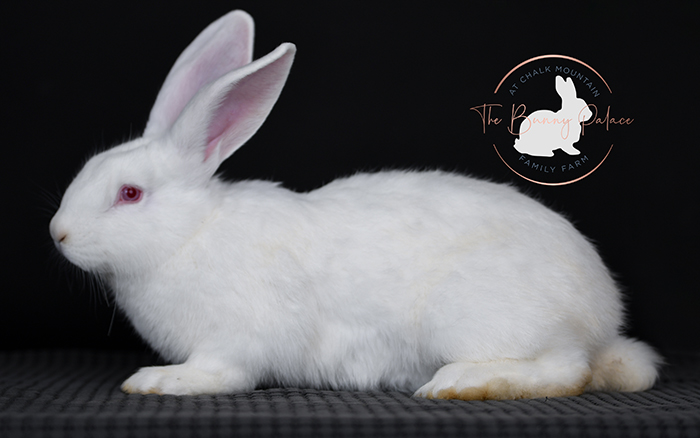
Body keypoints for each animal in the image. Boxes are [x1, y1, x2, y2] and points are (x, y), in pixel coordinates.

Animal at [49, 10, 660, 400]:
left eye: (130, 194)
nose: (58, 234)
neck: (191, 234)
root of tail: (601, 318)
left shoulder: (233, 341)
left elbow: (220, 374)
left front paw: (159, 381)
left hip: (479, 319)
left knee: (566, 371)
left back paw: (461, 383)